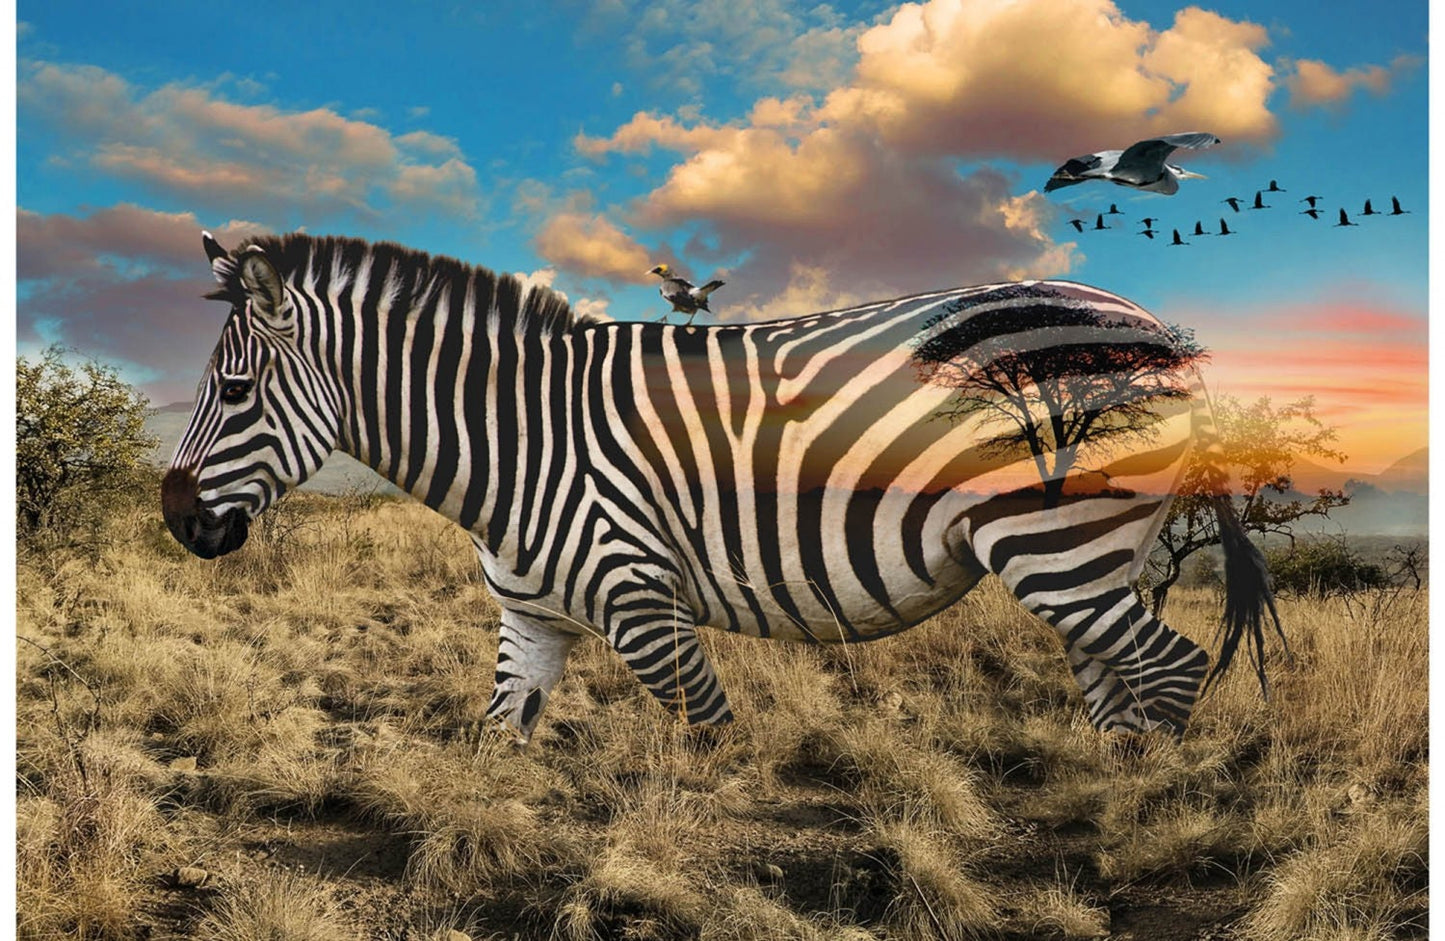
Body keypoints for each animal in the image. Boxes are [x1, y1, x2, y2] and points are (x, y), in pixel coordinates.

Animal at [162, 233, 1282, 743]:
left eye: (234, 390)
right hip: (1087, 561)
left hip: (1055, 540)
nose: (175, 519)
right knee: (1120, 692)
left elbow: (708, 741)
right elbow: (492, 749)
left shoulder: (640, 599)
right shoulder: (532, 619)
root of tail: (1154, 327)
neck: (517, 443)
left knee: (1173, 671)